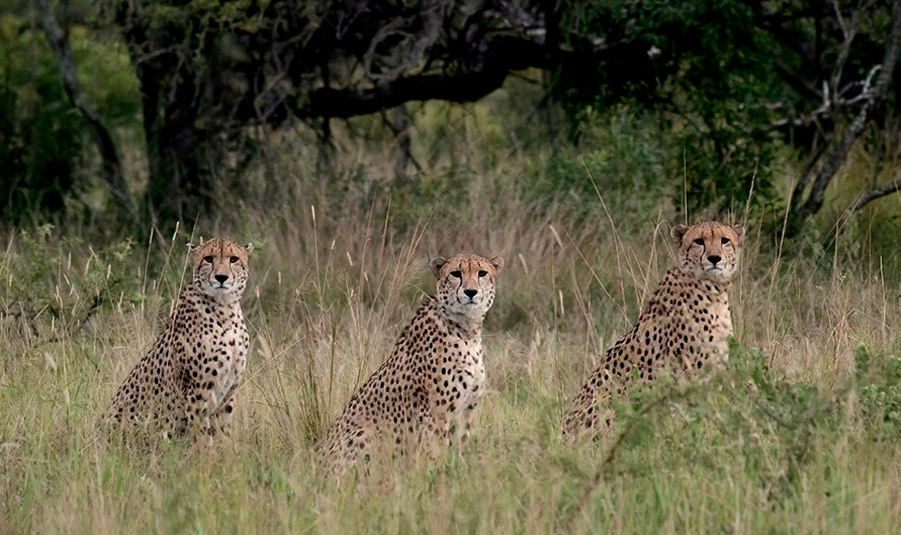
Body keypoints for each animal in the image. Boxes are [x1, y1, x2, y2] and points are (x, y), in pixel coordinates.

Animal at [104, 237, 254, 442]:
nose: (221, 277)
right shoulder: (197, 393)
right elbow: (203, 437)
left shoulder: (227, 392)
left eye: (234, 259)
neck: (225, 309)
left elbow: (224, 433)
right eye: (208, 259)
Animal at [321, 253, 505, 469]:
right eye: (456, 273)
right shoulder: (436, 414)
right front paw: (437, 473)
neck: (466, 330)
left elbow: (459, 450)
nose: (470, 292)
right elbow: (436, 452)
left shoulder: (465, 411)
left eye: (482, 273)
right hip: (366, 433)